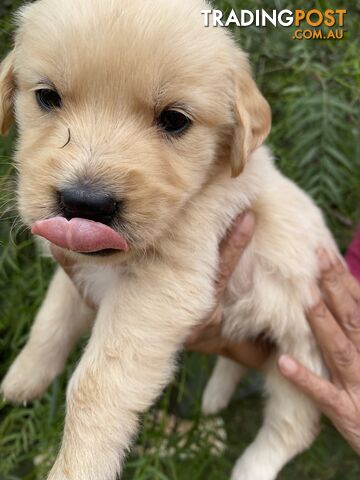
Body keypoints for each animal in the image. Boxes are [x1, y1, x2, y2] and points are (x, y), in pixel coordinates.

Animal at [0, 0, 338, 480]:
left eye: (175, 120)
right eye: (47, 97)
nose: (85, 202)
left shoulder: (160, 287)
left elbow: (94, 384)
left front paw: (77, 466)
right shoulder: (78, 268)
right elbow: (51, 317)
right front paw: (23, 378)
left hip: (302, 357)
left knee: (293, 426)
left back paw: (250, 468)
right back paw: (214, 397)